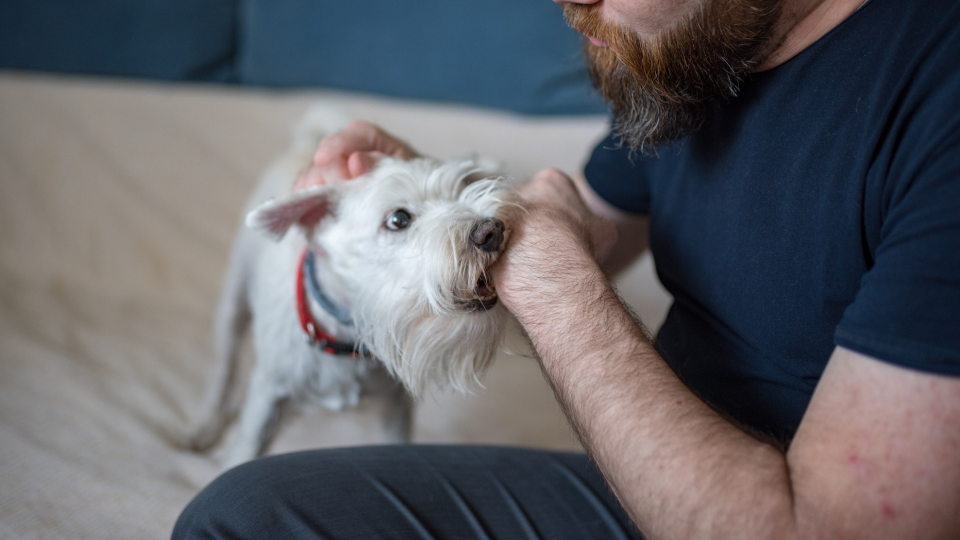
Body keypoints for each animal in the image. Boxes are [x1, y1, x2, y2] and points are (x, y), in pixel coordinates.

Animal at [184, 112, 520, 470]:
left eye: (464, 187)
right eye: (398, 219)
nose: (491, 231)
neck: (348, 335)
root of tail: (306, 143)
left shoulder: (396, 407)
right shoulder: (267, 395)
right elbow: (246, 448)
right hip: (233, 305)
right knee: (224, 368)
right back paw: (207, 424)